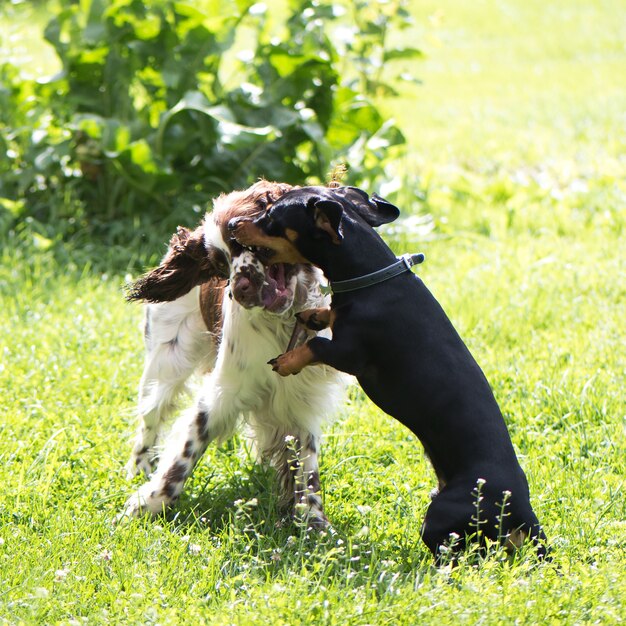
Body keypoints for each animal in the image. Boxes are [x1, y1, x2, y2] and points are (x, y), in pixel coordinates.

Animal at [119, 182, 344, 528]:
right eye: (219, 265)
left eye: (244, 243)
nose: (239, 290)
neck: (283, 322)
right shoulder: (221, 393)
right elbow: (184, 455)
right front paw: (148, 502)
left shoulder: (298, 400)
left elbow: (306, 468)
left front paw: (314, 522)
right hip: (165, 363)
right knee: (149, 419)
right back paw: (140, 467)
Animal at [230, 185, 544, 560]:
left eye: (271, 216)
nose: (232, 224)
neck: (372, 279)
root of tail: (522, 509)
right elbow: (324, 316)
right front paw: (313, 315)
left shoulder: (349, 354)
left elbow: (314, 346)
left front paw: (287, 361)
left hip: (441, 517)